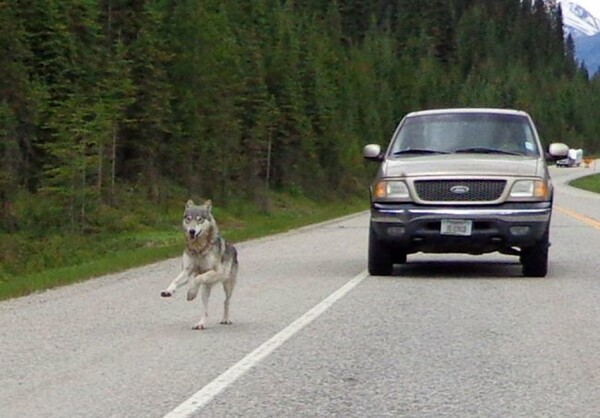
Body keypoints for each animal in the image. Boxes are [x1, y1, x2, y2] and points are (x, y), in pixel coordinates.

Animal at [162, 199, 241, 330]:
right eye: (188, 219)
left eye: (199, 219)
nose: (192, 231)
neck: (198, 248)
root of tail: (233, 247)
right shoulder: (186, 272)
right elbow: (175, 281)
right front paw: (168, 291)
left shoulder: (217, 272)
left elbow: (197, 278)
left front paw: (191, 293)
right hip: (206, 291)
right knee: (205, 310)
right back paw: (200, 324)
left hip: (227, 285)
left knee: (226, 302)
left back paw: (225, 319)